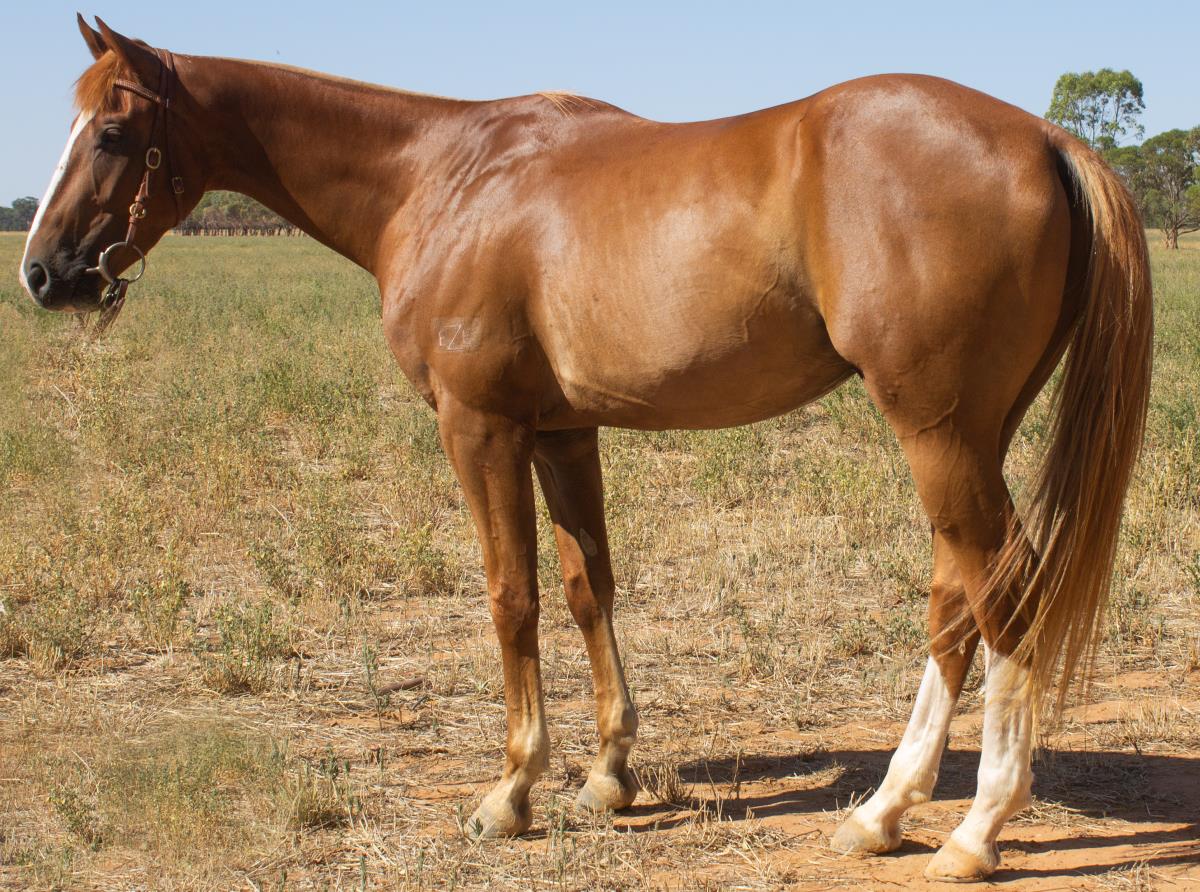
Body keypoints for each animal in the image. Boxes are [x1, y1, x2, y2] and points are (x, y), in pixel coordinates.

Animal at [20, 16, 1152, 881]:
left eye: (113, 130)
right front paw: (609, 774)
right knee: (958, 604)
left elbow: (509, 596)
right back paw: (880, 814)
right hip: (968, 436)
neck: (443, 179)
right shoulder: (564, 431)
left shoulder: (478, 425)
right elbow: (585, 586)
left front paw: (512, 789)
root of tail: (1044, 137)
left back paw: (974, 831)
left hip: (939, 436)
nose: (43, 272)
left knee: (1004, 598)